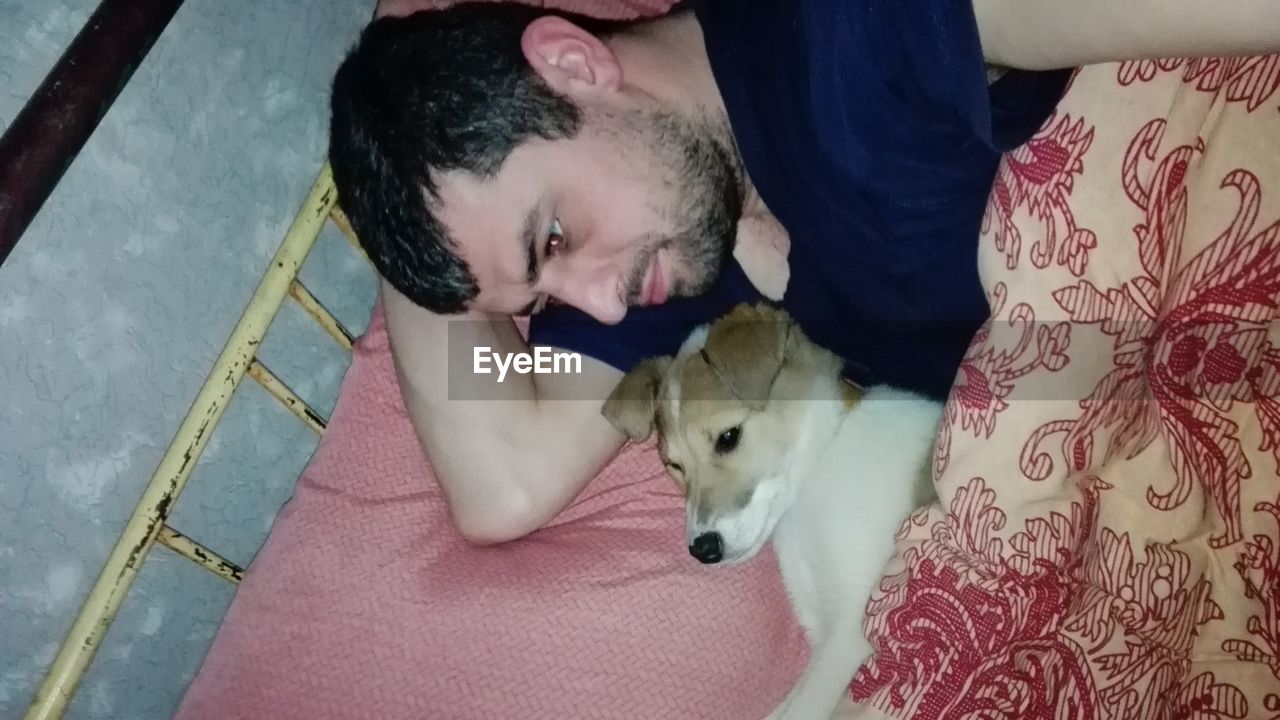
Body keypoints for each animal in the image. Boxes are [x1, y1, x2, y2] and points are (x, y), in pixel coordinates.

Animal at [599, 301, 942, 717]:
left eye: (729, 437)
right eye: (673, 465)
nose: (703, 550)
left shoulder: (852, 629)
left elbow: (801, 709)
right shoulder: (821, 625)